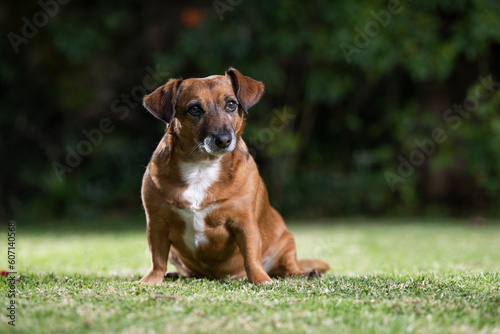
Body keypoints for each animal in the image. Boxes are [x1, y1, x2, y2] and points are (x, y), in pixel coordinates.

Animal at [139, 68, 330, 284]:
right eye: (194, 109)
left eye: (231, 104)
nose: (223, 139)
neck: (202, 166)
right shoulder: (156, 223)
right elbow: (157, 259)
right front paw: (152, 280)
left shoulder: (244, 223)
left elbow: (251, 256)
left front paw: (261, 280)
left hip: (286, 244)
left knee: (289, 268)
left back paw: (306, 273)